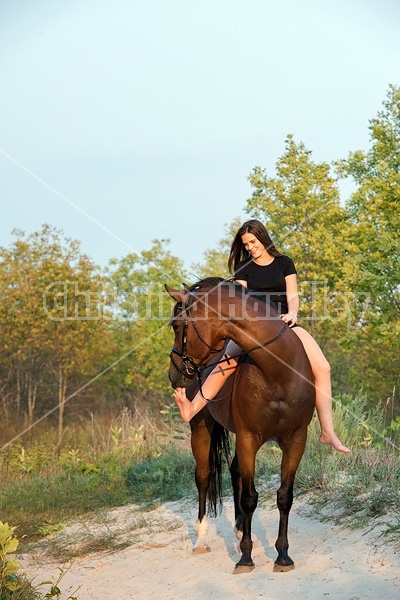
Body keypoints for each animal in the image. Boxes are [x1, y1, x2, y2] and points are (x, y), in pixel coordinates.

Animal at [166, 278, 316, 576]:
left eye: (177, 325)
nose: (173, 373)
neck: (277, 370)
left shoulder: (296, 439)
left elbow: (284, 496)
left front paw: (283, 555)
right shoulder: (249, 438)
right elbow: (249, 497)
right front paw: (246, 558)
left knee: (234, 471)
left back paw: (237, 531)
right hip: (201, 427)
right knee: (203, 476)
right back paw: (202, 539)